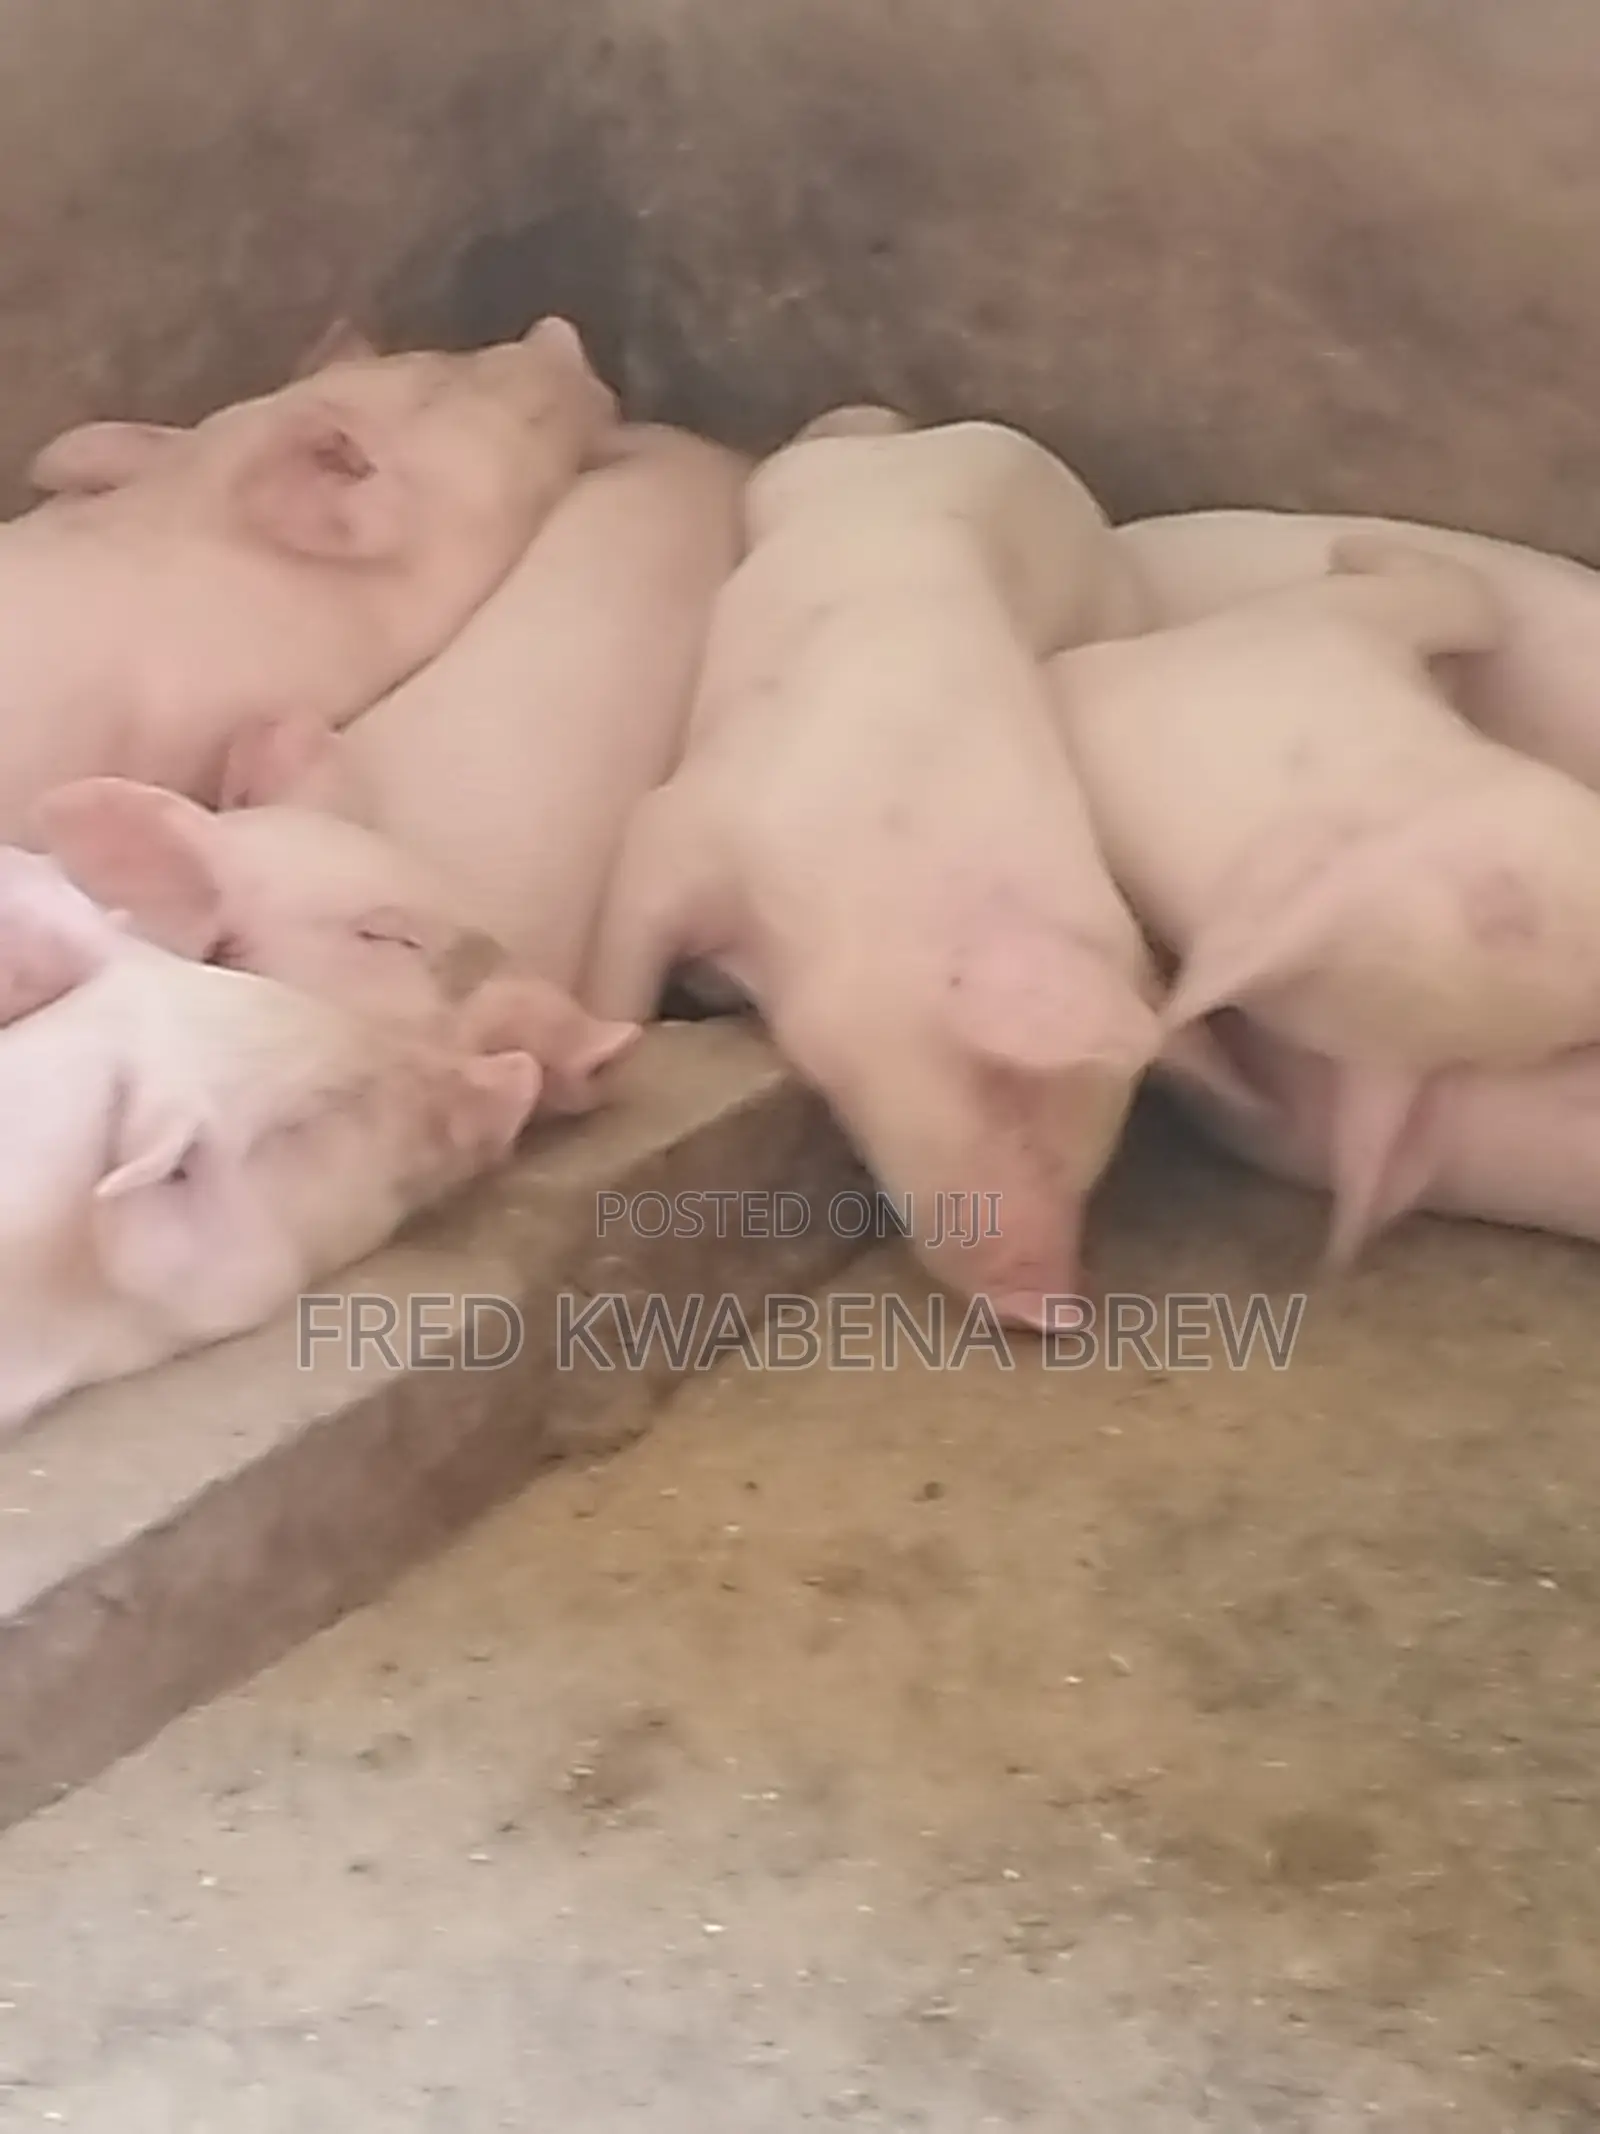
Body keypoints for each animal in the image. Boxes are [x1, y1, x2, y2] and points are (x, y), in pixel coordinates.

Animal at [586, 417, 1163, 1327]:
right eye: (1010, 1096)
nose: (1062, 1309)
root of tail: (991, 437)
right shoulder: (684, 828)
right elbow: (623, 965)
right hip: (800, 478)